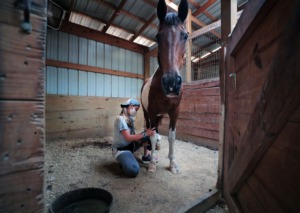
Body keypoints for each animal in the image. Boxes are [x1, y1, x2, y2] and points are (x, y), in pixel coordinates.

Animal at [141, 0, 188, 173]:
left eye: (185, 36)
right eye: (158, 36)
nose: (171, 83)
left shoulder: (175, 112)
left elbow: (172, 136)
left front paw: (172, 163)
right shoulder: (152, 112)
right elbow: (153, 134)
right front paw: (152, 164)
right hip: (147, 113)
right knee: (149, 128)